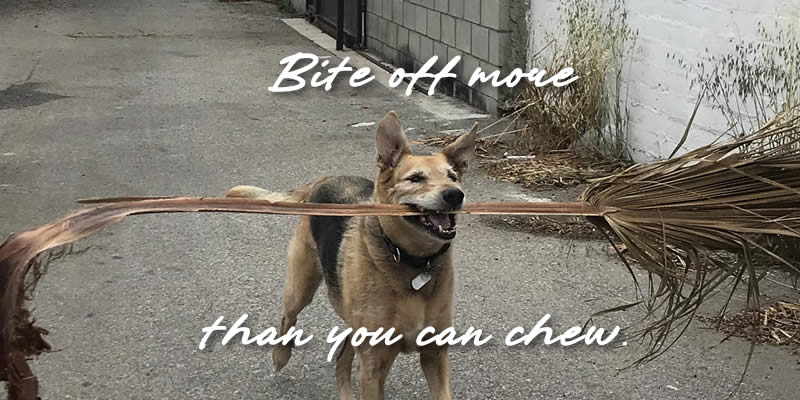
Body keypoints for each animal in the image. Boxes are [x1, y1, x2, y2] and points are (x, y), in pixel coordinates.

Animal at [225, 111, 476, 400]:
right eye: (415, 179)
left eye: (452, 176)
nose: (455, 194)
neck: (412, 261)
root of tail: (326, 178)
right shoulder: (373, 368)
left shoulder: (434, 356)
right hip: (301, 287)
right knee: (289, 318)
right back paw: (280, 355)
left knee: (342, 358)